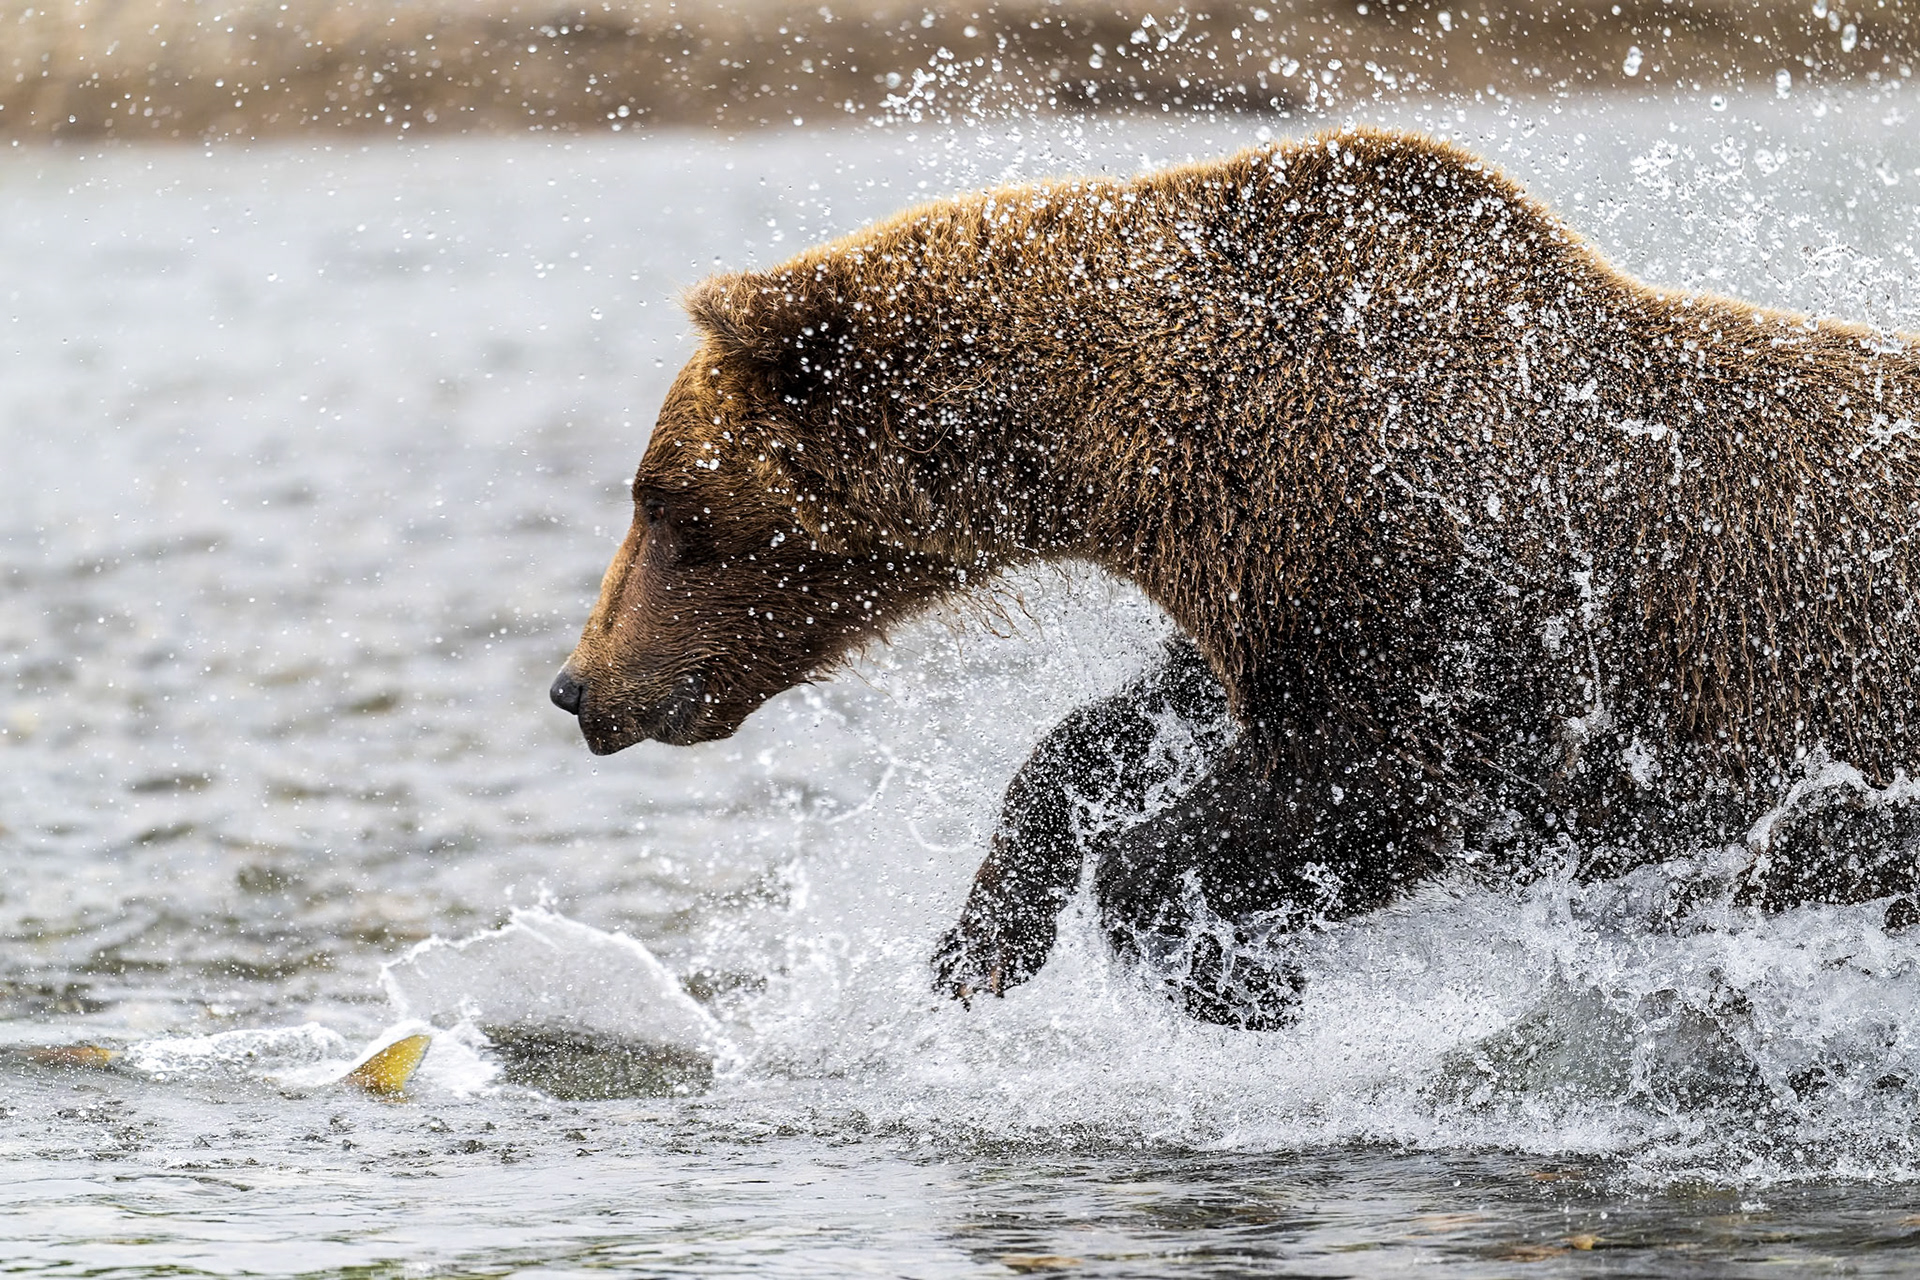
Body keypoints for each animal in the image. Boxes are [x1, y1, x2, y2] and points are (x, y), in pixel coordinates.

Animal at [551, 126, 1920, 1028]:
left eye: (661, 503)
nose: (578, 685)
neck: (1159, 451)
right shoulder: (1270, 585)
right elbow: (1133, 726)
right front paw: (980, 941)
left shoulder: (1442, 594)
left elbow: (1388, 788)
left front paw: (1243, 975)